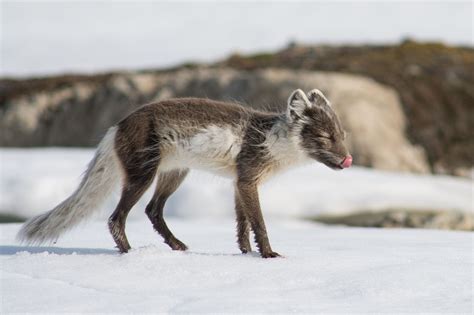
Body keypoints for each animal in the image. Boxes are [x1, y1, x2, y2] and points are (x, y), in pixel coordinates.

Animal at [17, 89, 352, 260]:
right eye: (324, 138)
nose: (348, 160)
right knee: (116, 218)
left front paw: (245, 254)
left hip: (175, 173)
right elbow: (259, 223)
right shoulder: (248, 179)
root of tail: (117, 125)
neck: (272, 139)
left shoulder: (239, 182)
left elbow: (242, 226)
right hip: (143, 175)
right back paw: (130, 254)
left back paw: (177, 247)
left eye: (341, 135)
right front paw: (269, 255)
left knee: (152, 211)